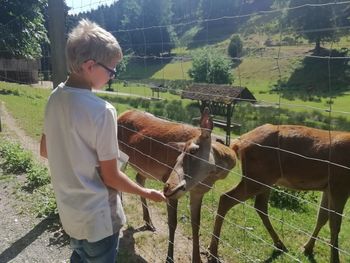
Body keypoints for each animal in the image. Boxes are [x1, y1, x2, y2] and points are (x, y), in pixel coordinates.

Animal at [117, 108, 235, 262]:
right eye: (178, 155)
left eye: (193, 150)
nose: (167, 187)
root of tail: (123, 113)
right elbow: (172, 222)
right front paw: (169, 257)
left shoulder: (198, 191)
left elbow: (196, 224)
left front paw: (197, 259)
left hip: (143, 167)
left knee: (138, 179)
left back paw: (148, 222)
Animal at [208, 124, 350, 263]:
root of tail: (239, 141)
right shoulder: (340, 183)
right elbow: (335, 225)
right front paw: (335, 259)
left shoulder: (327, 188)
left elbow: (322, 218)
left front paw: (307, 248)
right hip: (257, 176)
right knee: (226, 198)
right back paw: (213, 250)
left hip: (265, 179)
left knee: (260, 206)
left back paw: (280, 244)